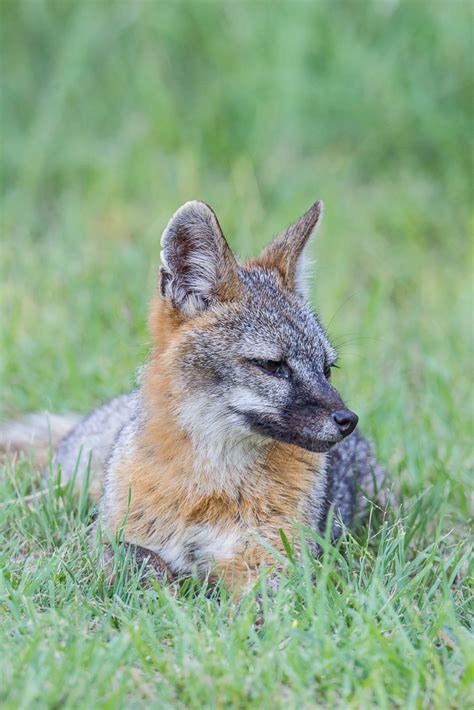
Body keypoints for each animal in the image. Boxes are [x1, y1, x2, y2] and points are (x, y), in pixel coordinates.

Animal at [0, 200, 386, 596]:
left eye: (327, 369)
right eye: (272, 366)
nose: (347, 420)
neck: (212, 487)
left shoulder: (275, 563)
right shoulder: (99, 540)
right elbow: (144, 563)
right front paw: (169, 598)